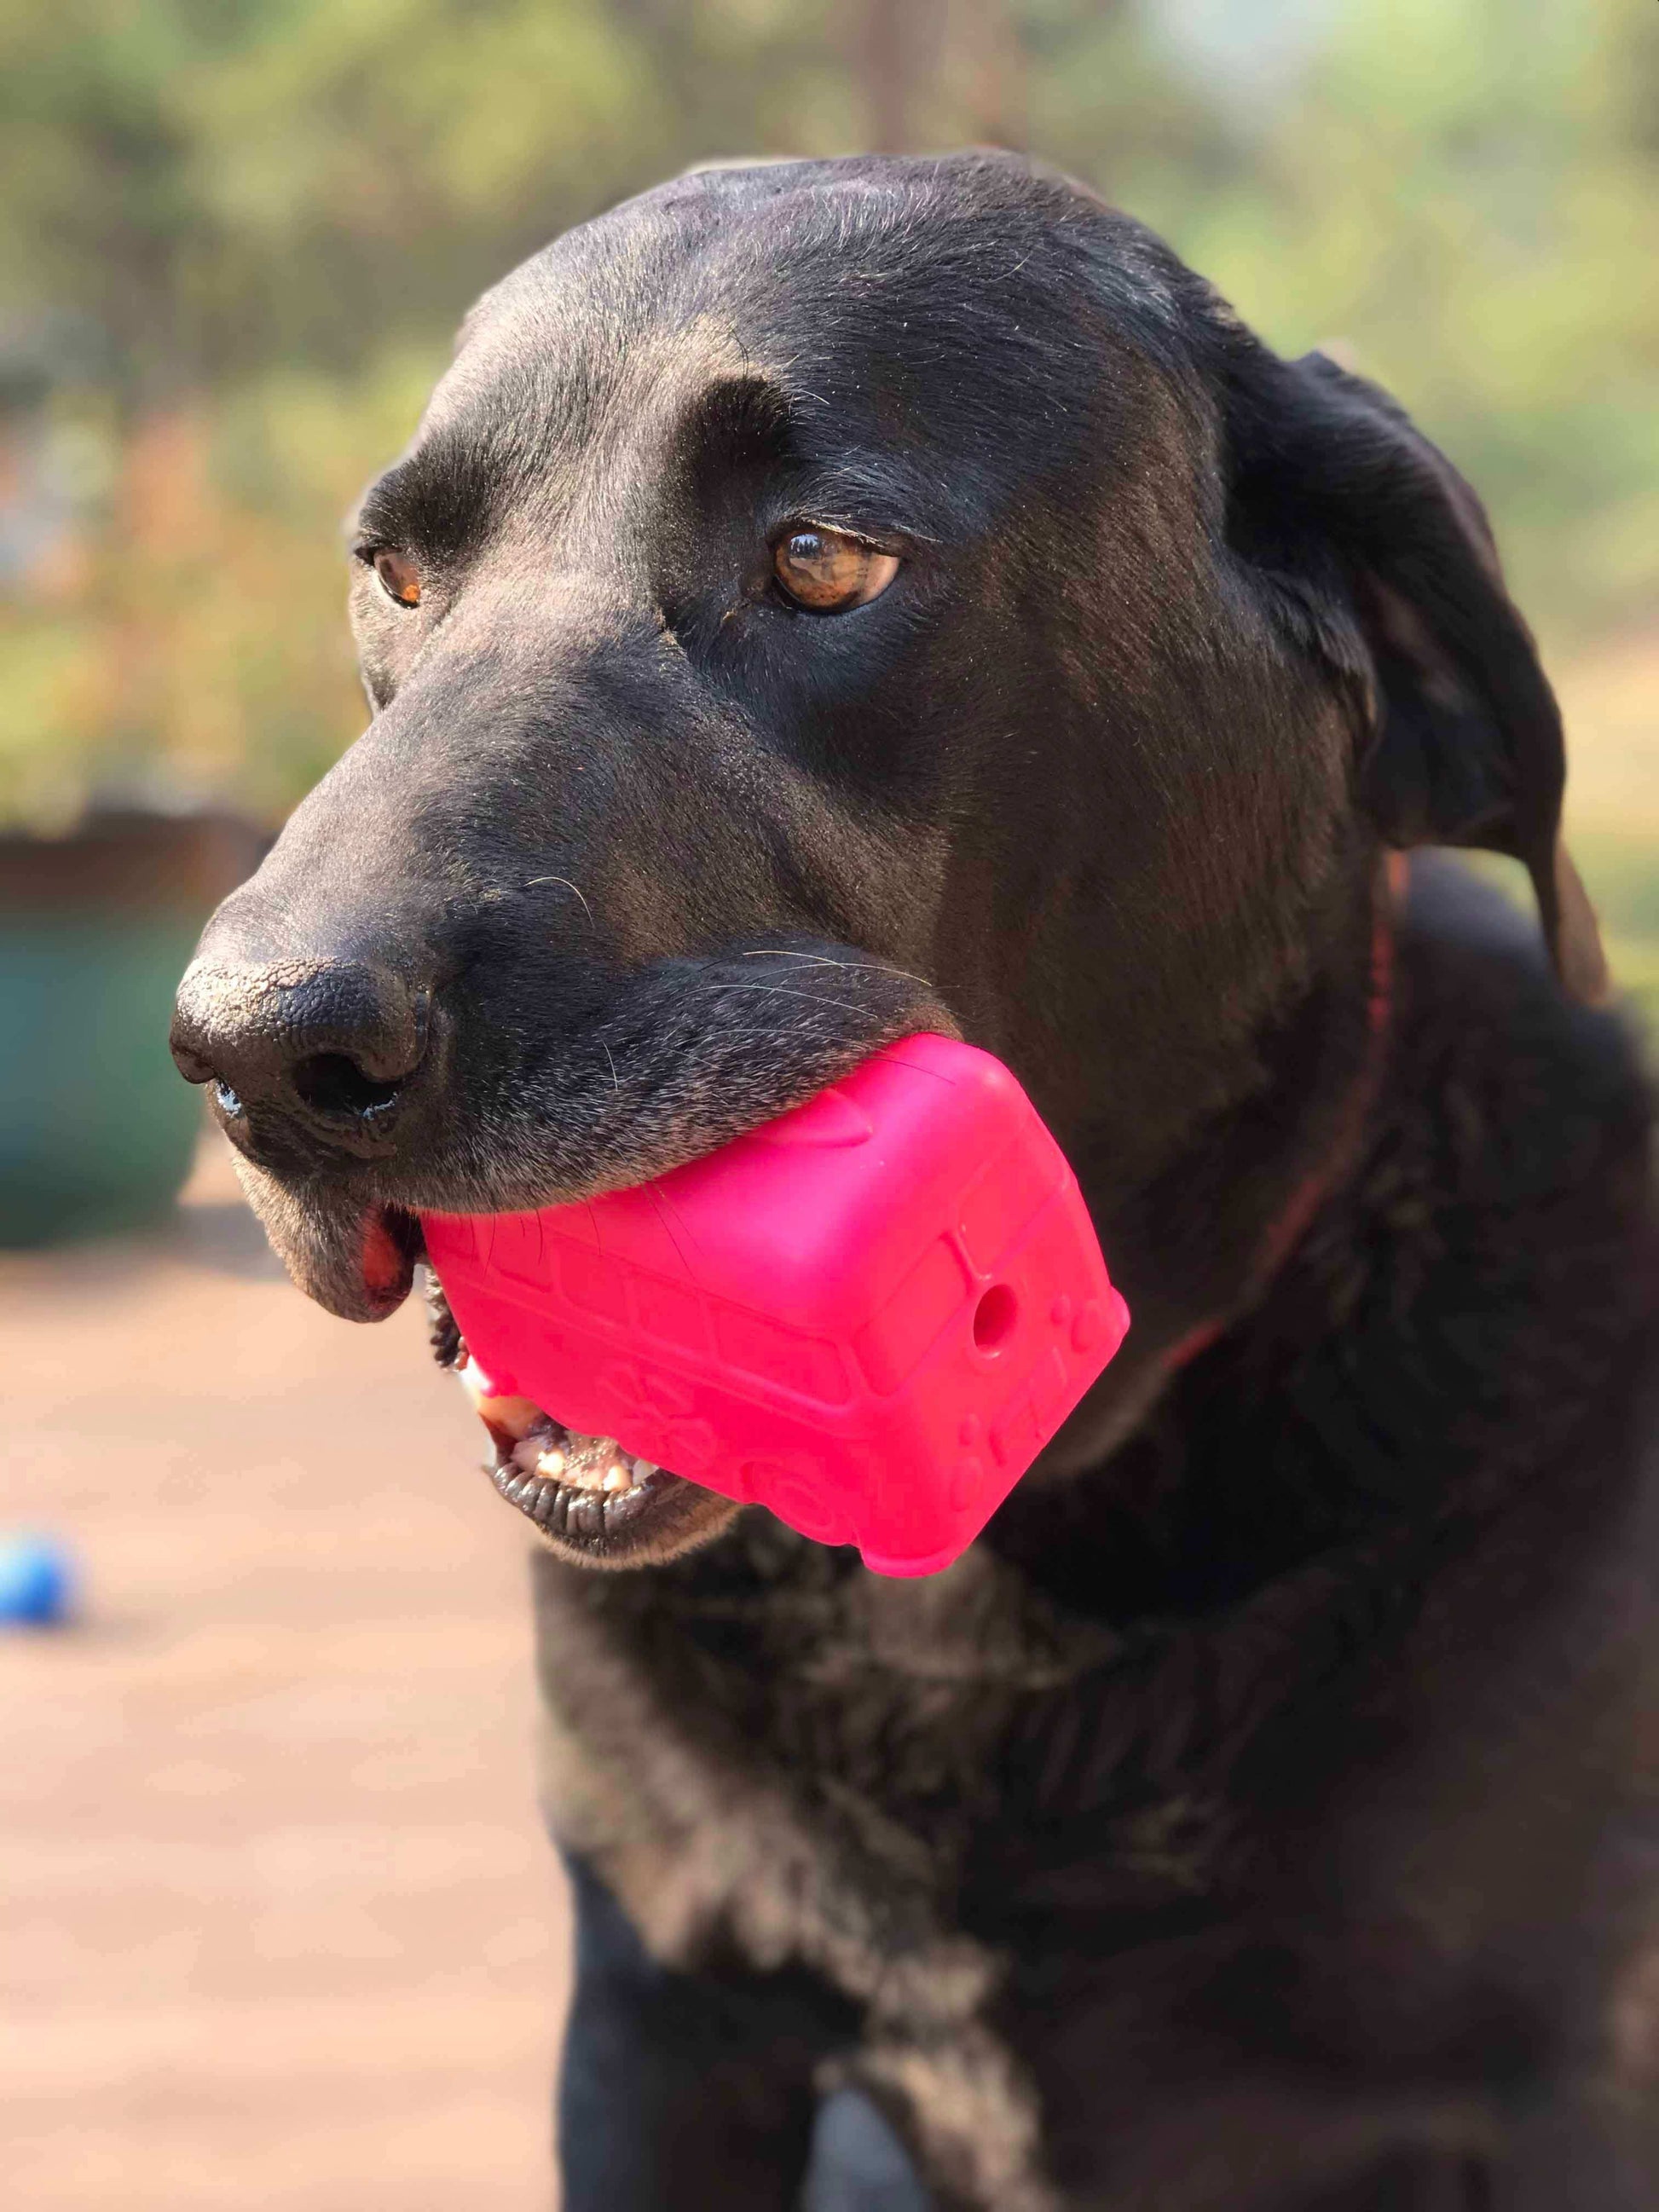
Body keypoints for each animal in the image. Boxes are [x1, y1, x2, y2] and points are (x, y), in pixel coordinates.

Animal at [172, 160, 1659, 2212]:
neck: (968, 1605)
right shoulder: (660, 2026)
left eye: (820, 561)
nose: (252, 1051)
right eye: (400, 575)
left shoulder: (1553, 2085)